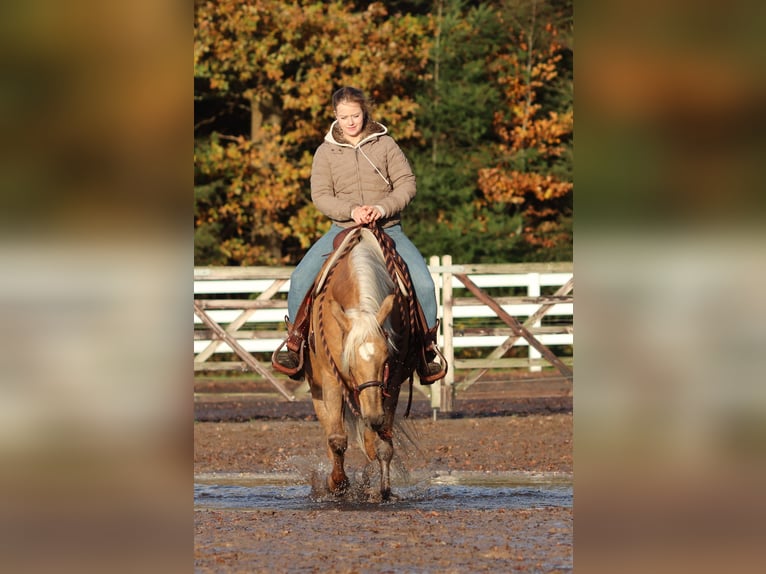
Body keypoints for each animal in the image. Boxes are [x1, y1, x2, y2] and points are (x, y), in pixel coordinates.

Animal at [304, 225, 420, 504]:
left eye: (386, 358)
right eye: (350, 364)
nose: (374, 416)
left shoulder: (391, 384)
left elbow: (383, 444)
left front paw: (384, 491)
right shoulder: (331, 378)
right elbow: (337, 439)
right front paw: (337, 485)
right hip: (318, 390)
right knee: (331, 432)